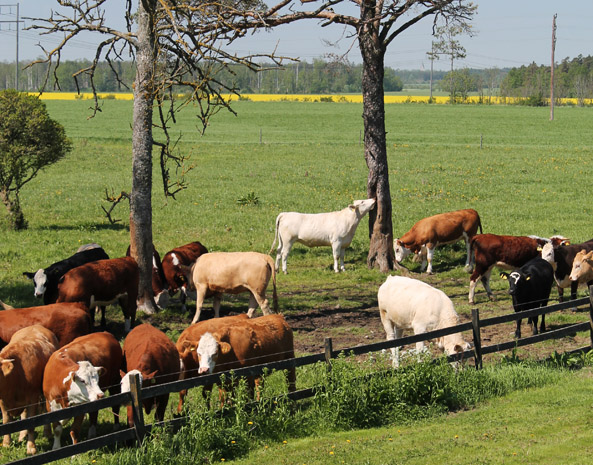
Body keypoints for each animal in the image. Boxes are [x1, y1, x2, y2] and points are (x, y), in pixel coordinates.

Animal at [0, 324, 59, 452]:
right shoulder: (2, 401)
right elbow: (7, 421)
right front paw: (6, 443)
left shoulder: (33, 398)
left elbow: (31, 422)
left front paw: (31, 448)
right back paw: (22, 435)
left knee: (45, 410)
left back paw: (47, 433)